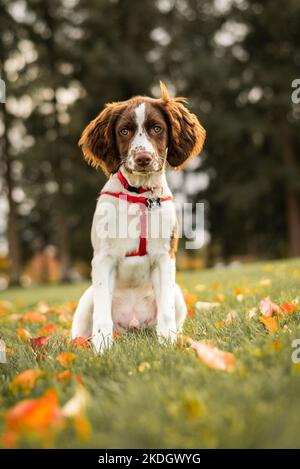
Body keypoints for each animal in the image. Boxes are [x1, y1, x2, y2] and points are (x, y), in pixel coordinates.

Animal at [71, 82, 205, 352]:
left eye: (157, 128)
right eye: (124, 131)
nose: (144, 158)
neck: (140, 196)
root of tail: (133, 328)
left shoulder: (165, 257)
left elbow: (166, 311)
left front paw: (168, 344)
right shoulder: (102, 259)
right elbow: (102, 315)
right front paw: (102, 350)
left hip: (177, 293)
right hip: (86, 299)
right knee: (80, 328)